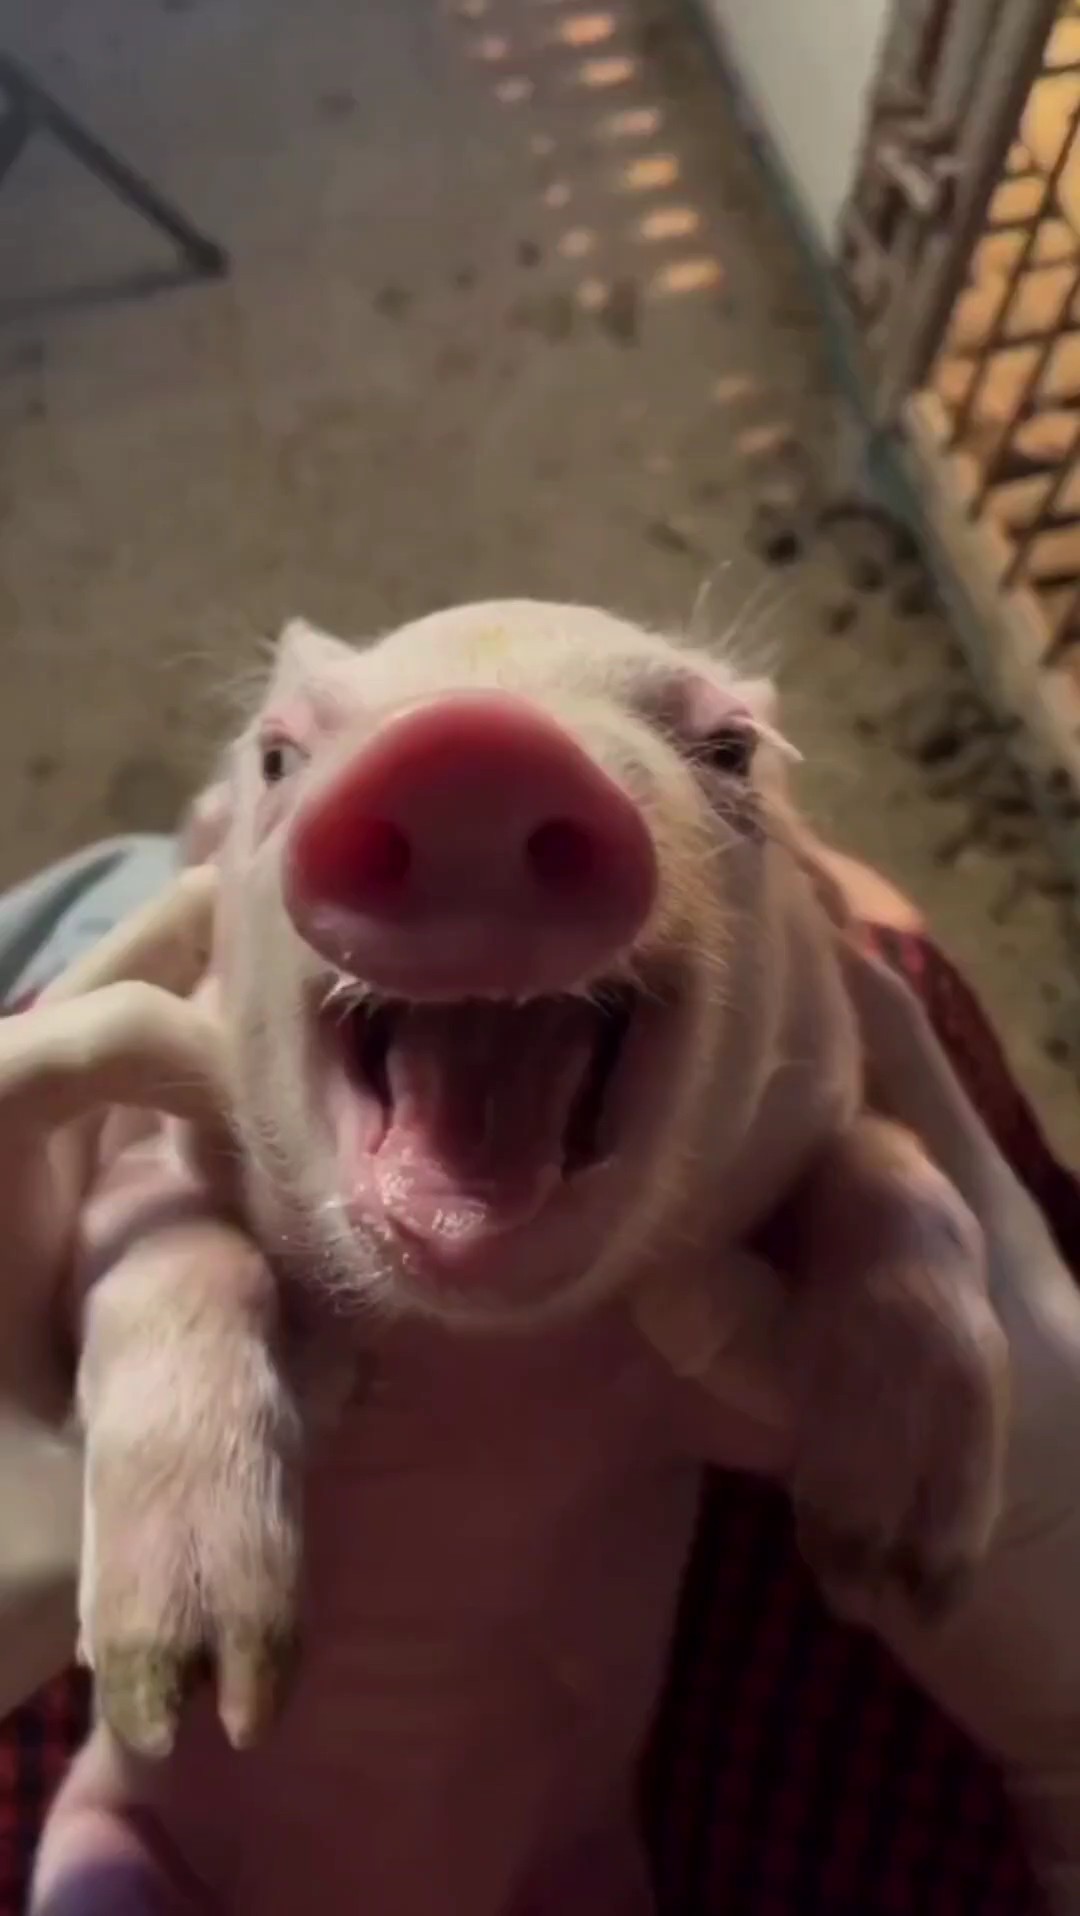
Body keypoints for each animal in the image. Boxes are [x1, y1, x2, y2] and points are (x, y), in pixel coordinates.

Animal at [32, 601, 1008, 1916]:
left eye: (732, 750)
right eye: (278, 756)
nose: (474, 745)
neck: (487, 1356)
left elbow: (895, 1168)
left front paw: (895, 1569)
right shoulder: (135, 1154)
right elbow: (167, 1249)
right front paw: (189, 1685)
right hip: (100, 1844)